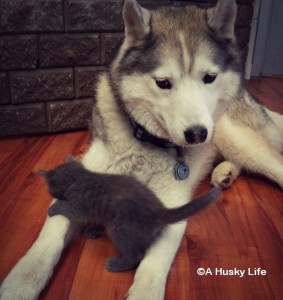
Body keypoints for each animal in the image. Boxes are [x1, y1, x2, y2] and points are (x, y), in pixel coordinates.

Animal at [37, 156, 221, 274]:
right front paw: (93, 230)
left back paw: (117, 264)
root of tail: (159, 210)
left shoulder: (79, 207)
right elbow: (98, 221)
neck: (80, 178)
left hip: (119, 230)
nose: (50, 193)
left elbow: (68, 208)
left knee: (136, 255)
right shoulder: (103, 213)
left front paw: (53, 208)